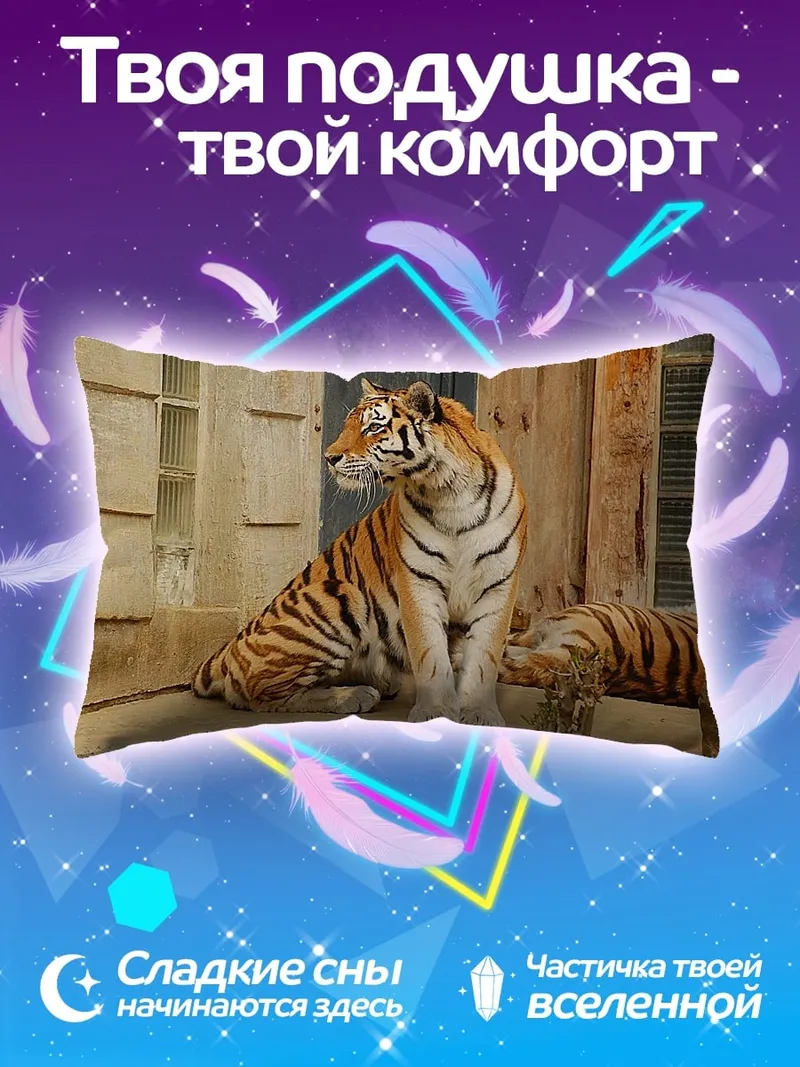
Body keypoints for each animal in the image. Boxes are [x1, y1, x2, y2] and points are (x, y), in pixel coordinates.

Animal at [192, 377, 527, 726]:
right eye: (348, 425)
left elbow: (484, 657)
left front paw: (479, 714)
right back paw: (353, 695)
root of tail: (231, 646)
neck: (448, 492)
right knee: (258, 693)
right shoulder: (418, 582)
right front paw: (435, 713)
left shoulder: (498, 584)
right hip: (340, 594)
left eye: (373, 428)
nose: (329, 457)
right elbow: (430, 653)